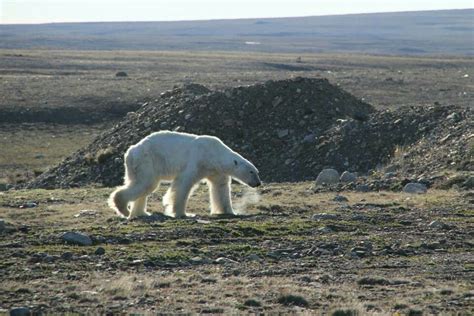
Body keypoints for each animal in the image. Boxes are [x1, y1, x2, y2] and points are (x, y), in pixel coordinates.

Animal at [109, 130, 262, 217]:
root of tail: (131, 152)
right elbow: (184, 183)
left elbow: (221, 187)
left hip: (138, 165)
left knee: (142, 185)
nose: (258, 183)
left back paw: (142, 213)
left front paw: (229, 211)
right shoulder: (197, 160)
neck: (214, 154)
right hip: (147, 160)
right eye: (251, 172)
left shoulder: (216, 171)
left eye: (257, 172)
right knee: (145, 184)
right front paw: (183, 213)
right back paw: (124, 208)